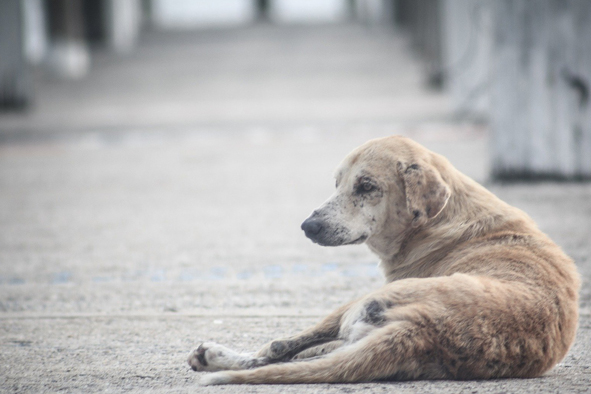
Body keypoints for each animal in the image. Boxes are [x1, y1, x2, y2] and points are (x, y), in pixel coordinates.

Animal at [187, 135, 580, 384]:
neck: (442, 219)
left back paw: (215, 357)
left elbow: (281, 346)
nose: (307, 226)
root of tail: (421, 330)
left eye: (366, 186)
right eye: (337, 183)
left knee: (278, 350)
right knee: (309, 355)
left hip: (357, 303)